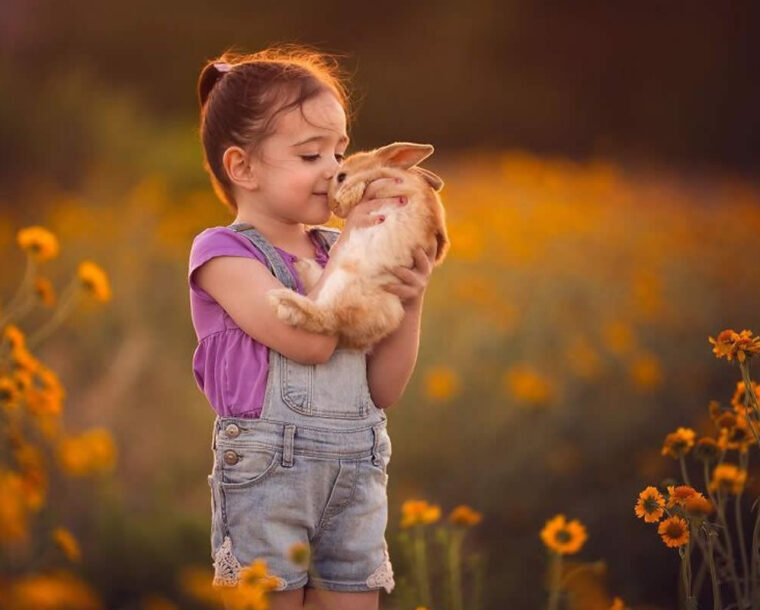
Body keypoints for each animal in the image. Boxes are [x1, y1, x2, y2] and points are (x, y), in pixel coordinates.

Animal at [266, 142, 448, 350]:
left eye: (341, 176)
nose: (334, 205)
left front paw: (348, 194)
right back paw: (302, 267)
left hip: (342, 282)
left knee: (325, 318)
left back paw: (283, 299)